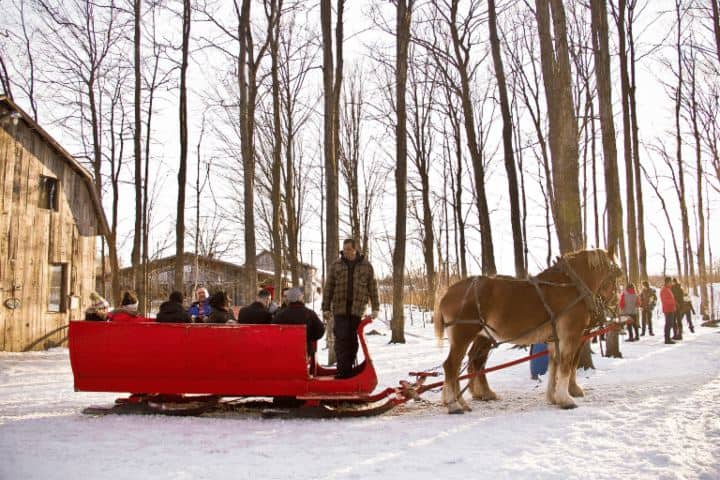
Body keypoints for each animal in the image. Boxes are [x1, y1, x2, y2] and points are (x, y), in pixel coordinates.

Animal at [434, 249, 624, 414]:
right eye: (616, 275)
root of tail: (447, 292)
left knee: (465, 365)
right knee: (451, 366)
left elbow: (554, 364)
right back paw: (454, 404)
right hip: (464, 335)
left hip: (478, 336)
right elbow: (566, 365)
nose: (615, 302)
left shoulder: (554, 338)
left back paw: (465, 400)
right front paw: (566, 399)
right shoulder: (571, 335)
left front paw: (553, 397)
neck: (570, 286)